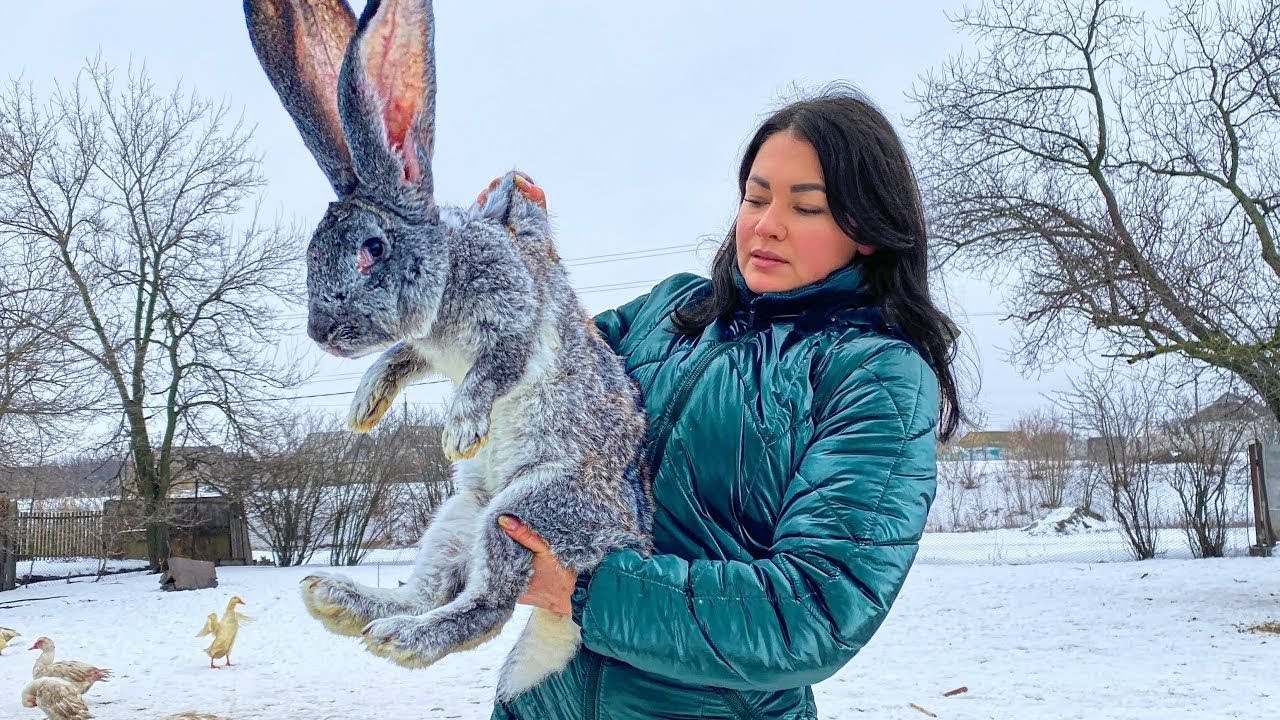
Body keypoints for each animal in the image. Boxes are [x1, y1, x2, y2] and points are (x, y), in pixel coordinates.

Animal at [243, 0, 652, 701]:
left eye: (373, 248)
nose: (320, 333)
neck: (448, 274)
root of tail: (628, 541)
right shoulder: (426, 352)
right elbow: (397, 360)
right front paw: (363, 409)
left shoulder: (515, 321)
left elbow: (493, 370)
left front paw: (460, 432)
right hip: (457, 517)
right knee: (422, 590)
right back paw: (338, 601)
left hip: (523, 511)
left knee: (483, 609)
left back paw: (403, 640)